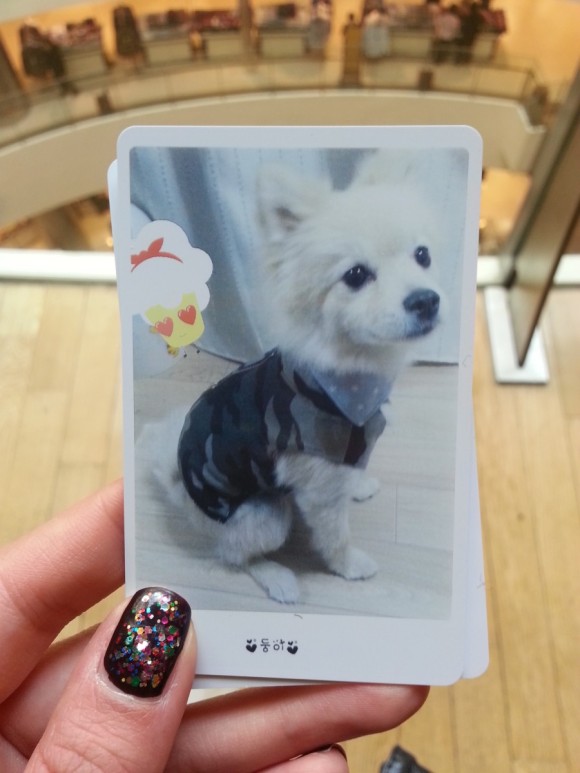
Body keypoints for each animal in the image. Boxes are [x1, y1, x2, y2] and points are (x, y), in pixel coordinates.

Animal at [159, 151, 443, 603]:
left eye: (422, 255)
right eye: (356, 276)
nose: (426, 300)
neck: (347, 374)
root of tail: (177, 489)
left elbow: (350, 472)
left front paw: (358, 484)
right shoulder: (318, 491)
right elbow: (335, 535)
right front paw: (349, 567)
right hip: (265, 516)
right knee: (232, 555)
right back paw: (277, 577)